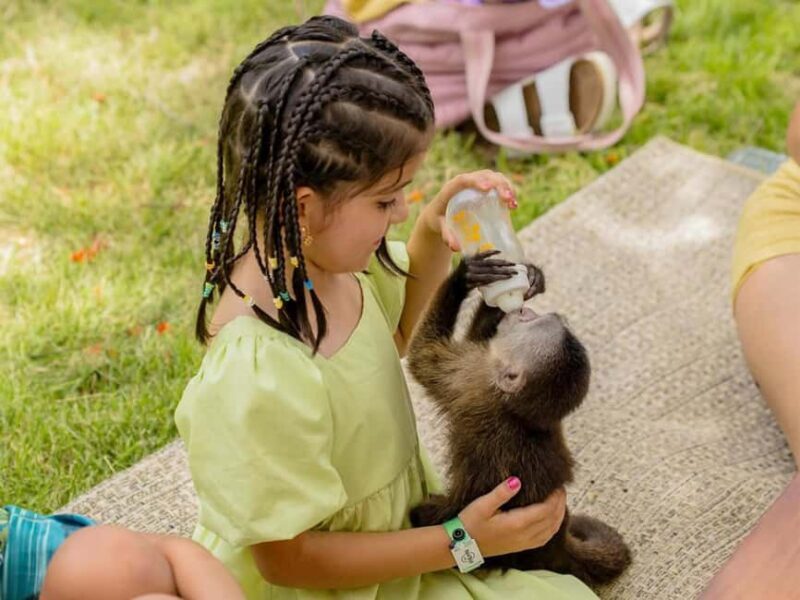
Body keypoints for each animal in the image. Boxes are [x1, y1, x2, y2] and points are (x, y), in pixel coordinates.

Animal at [408, 251, 631, 585]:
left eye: (527, 320)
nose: (523, 310)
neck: (514, 412)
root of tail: (557, 545)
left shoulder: (469, 377)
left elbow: (422, 355)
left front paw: (464, 276)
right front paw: (527, 280)